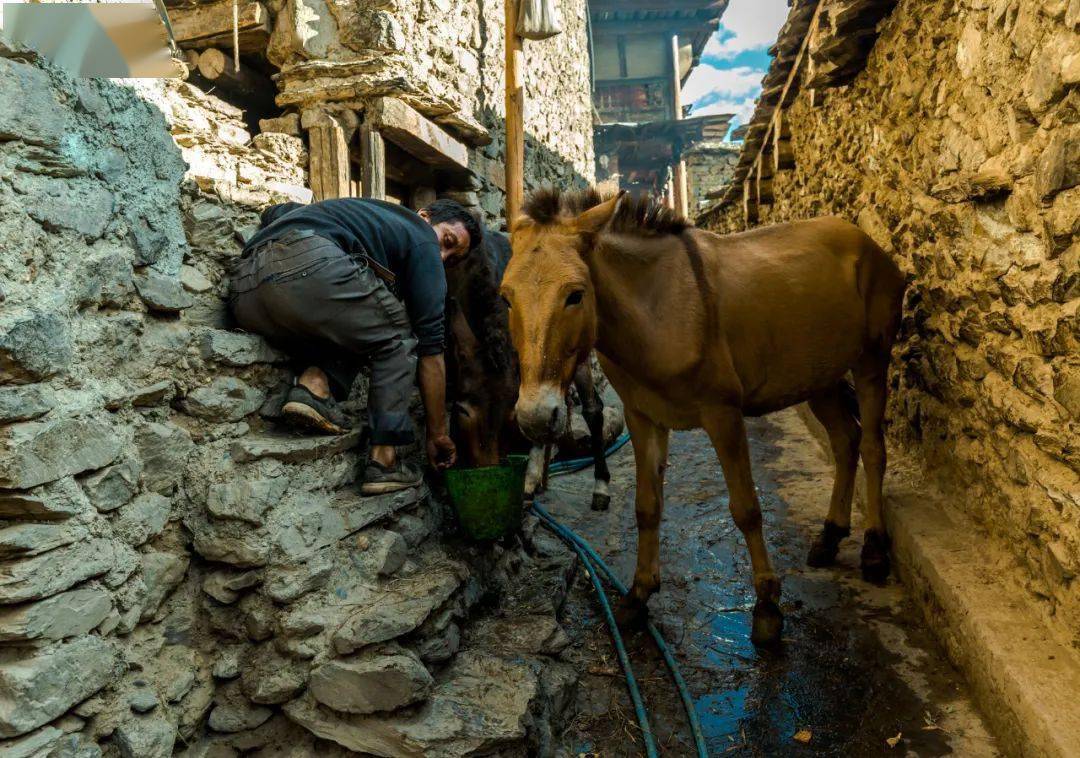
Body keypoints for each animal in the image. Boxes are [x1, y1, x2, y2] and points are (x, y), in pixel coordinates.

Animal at [501, 190, 907, 647]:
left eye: (575, 294)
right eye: (506, 298)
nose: (536, 417)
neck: (655, 311)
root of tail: (863, 239)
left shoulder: (723, 413)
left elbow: (746, 508)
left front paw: (767, 607)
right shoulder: (643, 417)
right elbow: (646, 507)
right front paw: (638, 596)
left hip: (871, 360)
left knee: (872, 446)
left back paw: (874, 548)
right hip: (820, 375)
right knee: (845, 440)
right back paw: (831, 535)